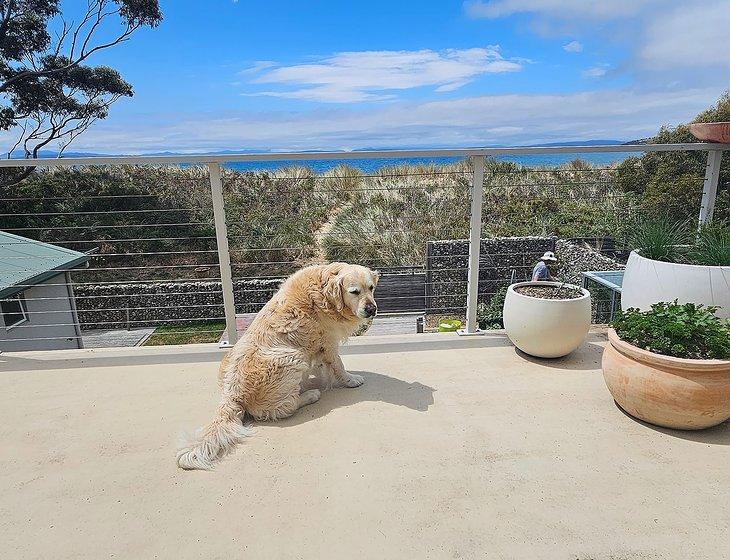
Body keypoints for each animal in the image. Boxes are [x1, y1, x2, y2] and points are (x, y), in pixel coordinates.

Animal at [176, 262, 378, 468]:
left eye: (371, 288)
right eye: (354, 292)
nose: (372, 309)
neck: (324, 293)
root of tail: (231, 395)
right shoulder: (328, 341)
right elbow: (338, 365)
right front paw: (351, 380)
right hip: (293, 358)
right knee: (282, 409)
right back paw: (310, 395)